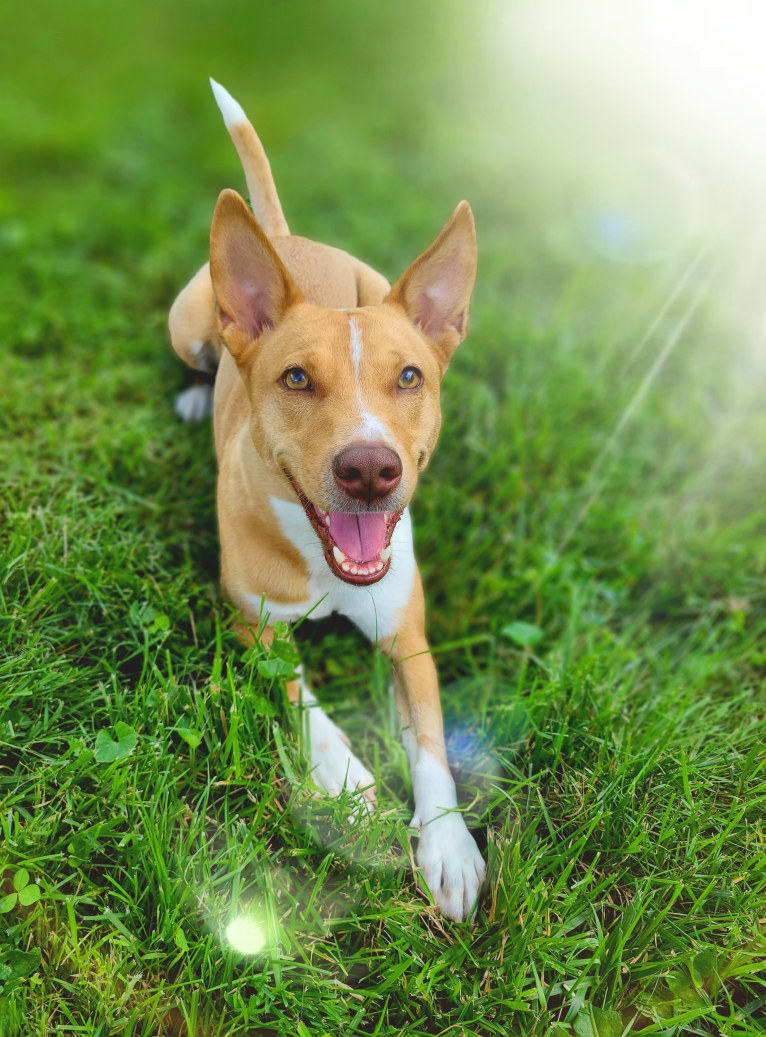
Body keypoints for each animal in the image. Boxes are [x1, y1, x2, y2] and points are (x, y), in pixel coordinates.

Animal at [169, 82, 485, 925]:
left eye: (409, 376)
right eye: (296, 378)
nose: (370, 468)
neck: (325, 560)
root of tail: (283, 237)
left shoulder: (409, 635)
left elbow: (433, 742)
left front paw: (449, 844)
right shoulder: (253, 622)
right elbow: (308, 705)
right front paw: (351, 785)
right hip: (188, 322)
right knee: (197, 352)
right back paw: (193, 394)